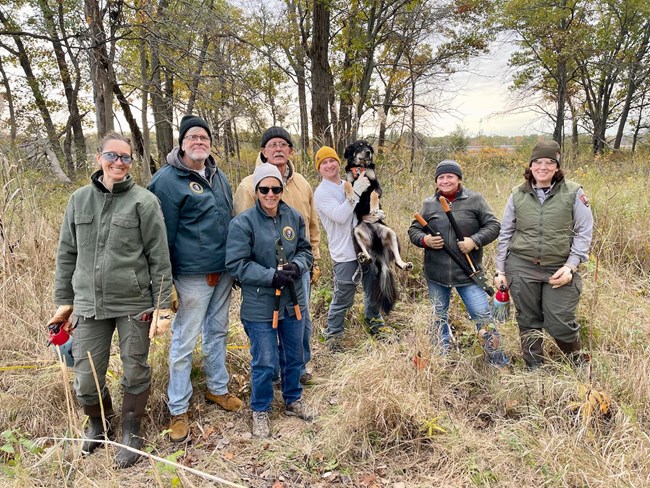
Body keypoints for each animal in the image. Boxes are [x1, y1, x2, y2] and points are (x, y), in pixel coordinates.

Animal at [340, 138, 410, 312]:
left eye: (368, 146)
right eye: (359, 145)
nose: (368, 152)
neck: (361, 167)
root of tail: (379, 251)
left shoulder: (376, 184)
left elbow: (372, 193)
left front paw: (374, 208)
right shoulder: (349, 179)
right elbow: (348, 185)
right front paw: (351, 196)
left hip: (391, 233)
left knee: (396, 260)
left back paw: (404, 264)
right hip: (356, 231)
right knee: (368, 255)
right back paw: (363, 257)